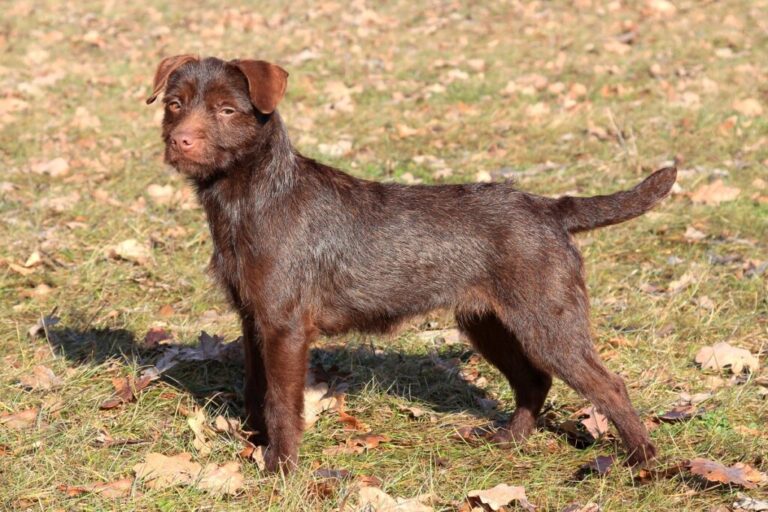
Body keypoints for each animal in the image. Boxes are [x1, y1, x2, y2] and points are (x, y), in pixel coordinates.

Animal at [147, 56, 676, 472]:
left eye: (226, 109)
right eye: (175, 104)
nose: (181, 142)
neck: (254, 196)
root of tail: (550, 208)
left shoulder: (285, 326)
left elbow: (280, 401)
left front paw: (281, 468)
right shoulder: (253, 318)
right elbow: (255, 389)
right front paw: (256, 446)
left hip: (548, 322)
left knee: (608, 385)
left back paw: (641, 462)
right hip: (487, 323)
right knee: (534, 380)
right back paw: (509, 439)